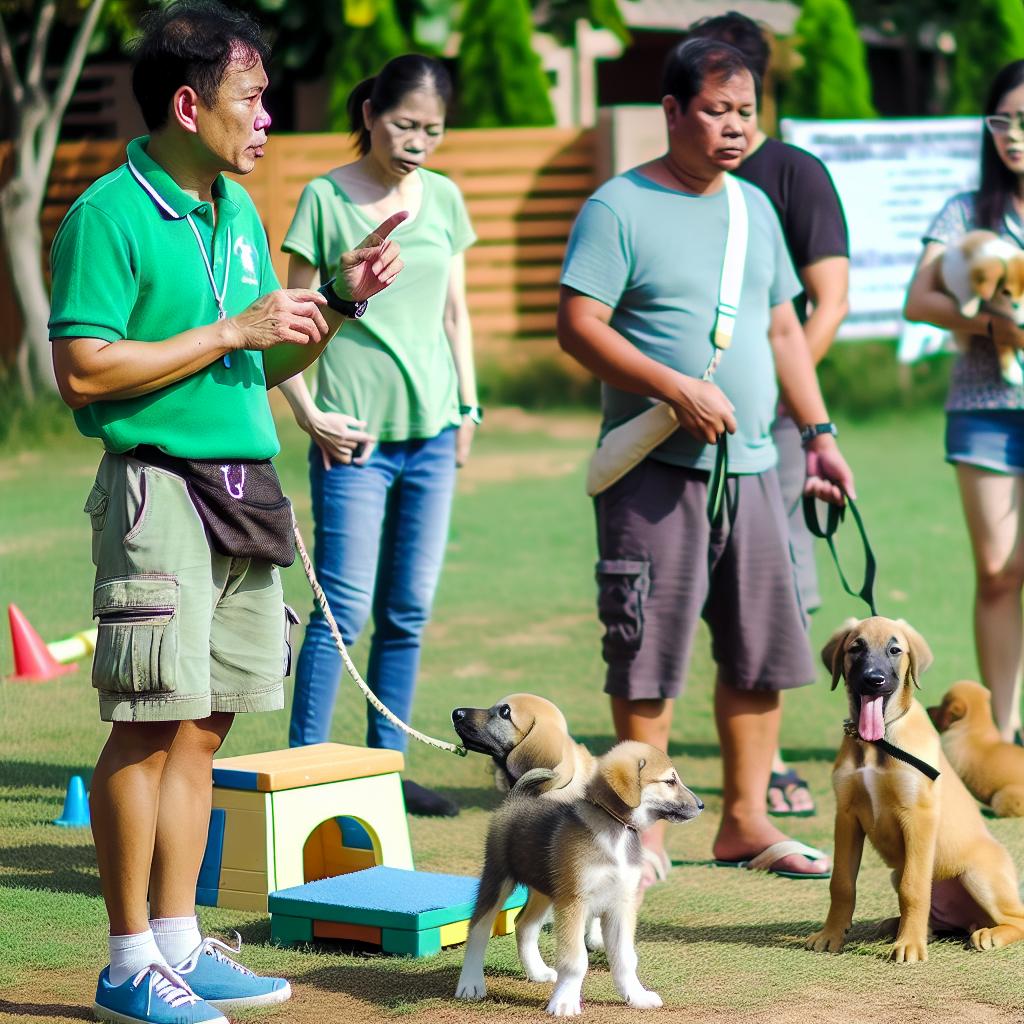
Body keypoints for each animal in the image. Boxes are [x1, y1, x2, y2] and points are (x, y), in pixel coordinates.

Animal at [456, 745, 704, 1015]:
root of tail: (516, 798)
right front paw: (565, 1001)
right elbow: (575, 960)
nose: (701, 805)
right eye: (670, 781)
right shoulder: (574, 903)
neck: (615, 831)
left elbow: (625, 958)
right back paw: (471, 983)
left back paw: (537, 972)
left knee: (524, 925)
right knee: (478, 928)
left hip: (545, 891)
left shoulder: (621, 904)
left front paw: (636, 996)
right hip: (498, 878)